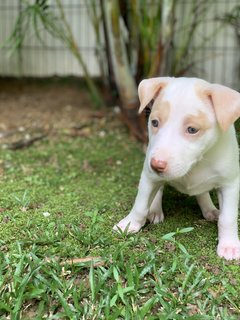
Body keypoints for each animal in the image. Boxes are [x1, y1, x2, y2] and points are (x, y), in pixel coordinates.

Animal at [113, 77, 240, 260]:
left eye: (192, 129)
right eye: (154, 122)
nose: (156, 164)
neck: (198, 162)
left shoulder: (230, 184)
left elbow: (228, 217)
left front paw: (229, 245)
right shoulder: (148, 176)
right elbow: (140, 204)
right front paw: (130, 224)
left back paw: (209, 209)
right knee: (157, 191)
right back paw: (155, 210)